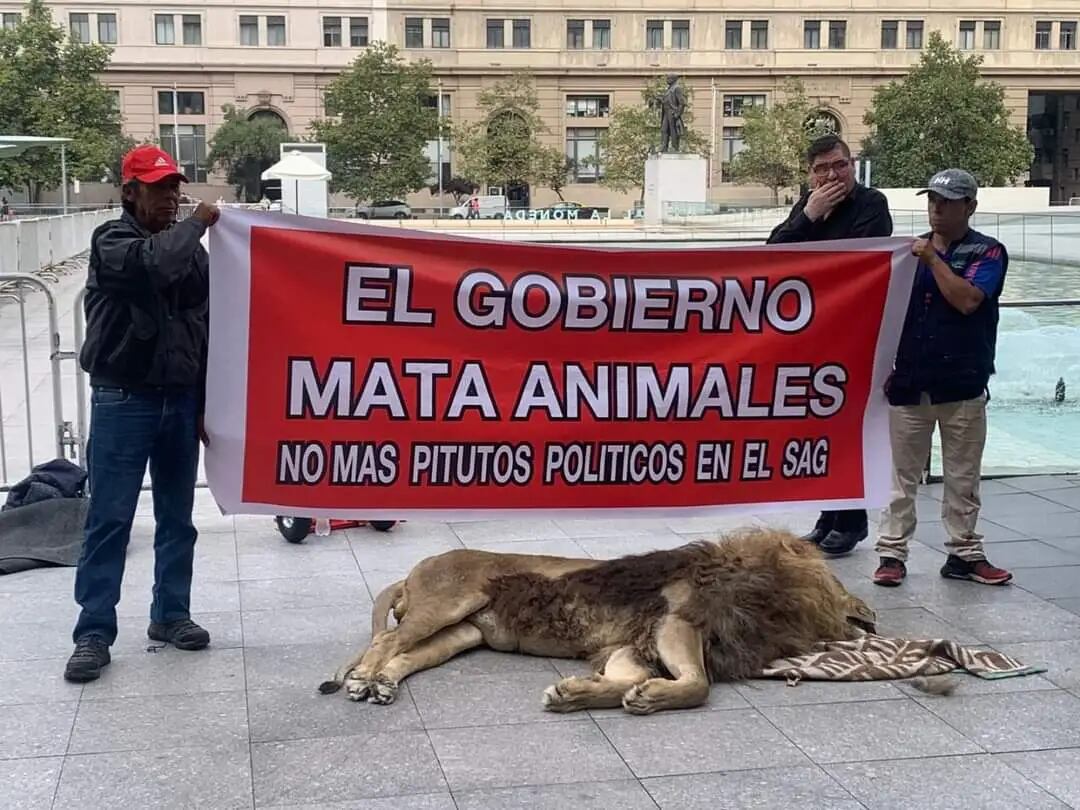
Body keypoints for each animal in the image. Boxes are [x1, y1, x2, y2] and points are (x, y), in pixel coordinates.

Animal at [317, 529, 876, 712]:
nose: (868, 623)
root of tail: (416, 569)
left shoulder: (635, 646)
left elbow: (624, 681)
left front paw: (577, 694)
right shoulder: (675, 621)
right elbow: (698, 684)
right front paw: (651, 698)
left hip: (461, 633)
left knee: (403, 656)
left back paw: (383, 686)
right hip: (445, 604)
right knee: (384, 643)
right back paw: (363, 681)